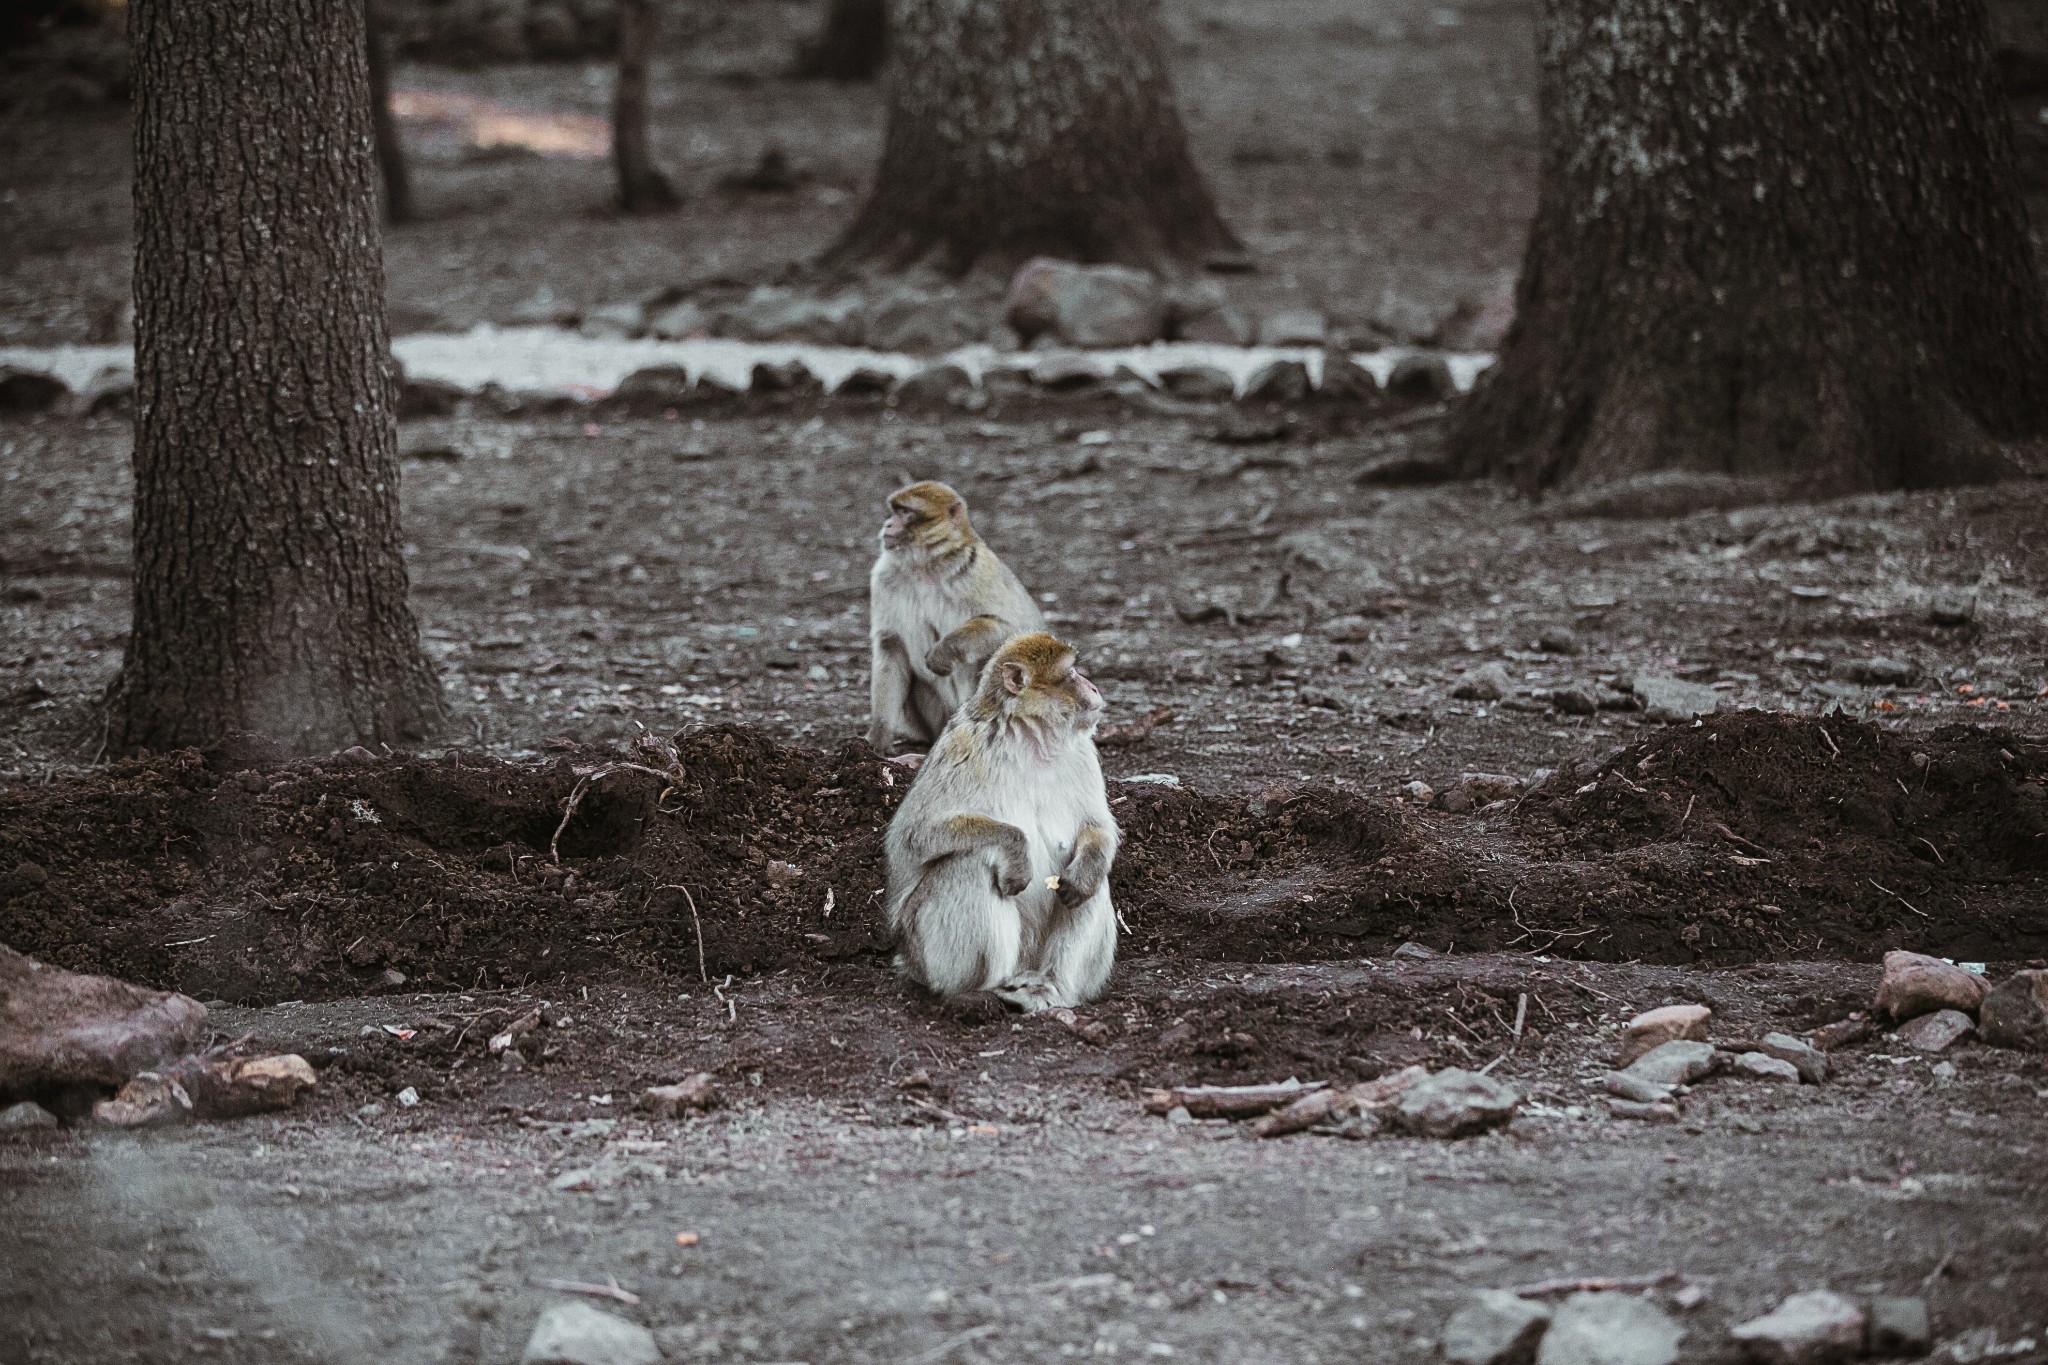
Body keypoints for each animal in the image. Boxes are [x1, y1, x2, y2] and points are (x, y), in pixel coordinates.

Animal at [868, 480, 1048, 757]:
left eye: (905, 512)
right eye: (894, 511)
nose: (888, 525)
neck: (926, 566)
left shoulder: (978, 570)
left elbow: (1013, 629)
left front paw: (943, 651)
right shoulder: (883, 578)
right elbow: (891, 647)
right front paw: (878, 738)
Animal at [880, 634, 1122, 1015]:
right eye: (1070, 674)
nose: (1094, 687)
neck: (1032, 738)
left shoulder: (1083, 753)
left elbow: (1096, 827)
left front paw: (1085, 871)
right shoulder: (965, 744)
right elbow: (913, 836)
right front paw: (1016, 848)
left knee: (1094, 883)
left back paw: (1053, 987)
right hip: (925, 953)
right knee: (972, 863)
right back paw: (982, 990)